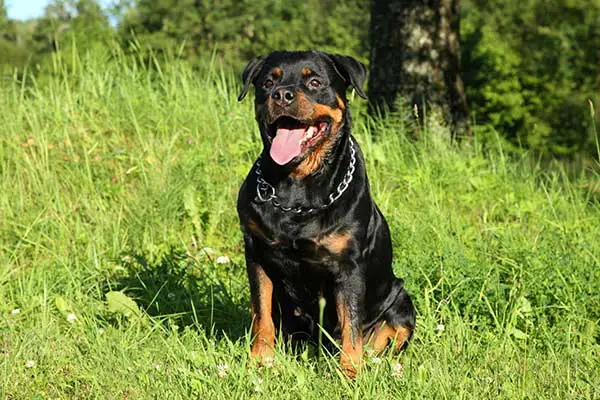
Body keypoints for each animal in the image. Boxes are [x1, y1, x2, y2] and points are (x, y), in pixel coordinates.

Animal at [237, 50, 414, 378]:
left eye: (315, 82)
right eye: (268, 82)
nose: (281, 94)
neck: (295, 189)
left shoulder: (349, 265)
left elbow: (351, 324)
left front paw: (350, 372)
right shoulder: (256, 253)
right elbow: (261, 313)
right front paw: (261, 360)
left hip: (401, 301)